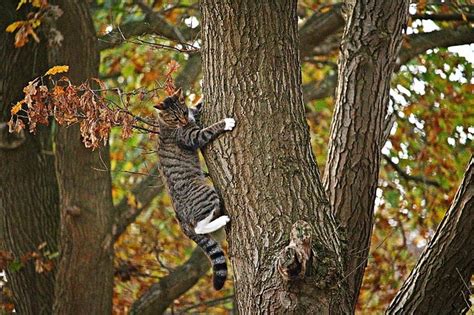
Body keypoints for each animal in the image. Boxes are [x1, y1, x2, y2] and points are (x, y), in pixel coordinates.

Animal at [156, 87, 235, 290]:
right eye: (175, 118)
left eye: (183, 113)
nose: (184, 121)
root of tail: (181, 221)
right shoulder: (191, 137)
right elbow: (207, 130)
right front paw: (225, 122)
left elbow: (198, 106)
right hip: (206, 193)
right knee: (199, 227)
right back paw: (222, 220)